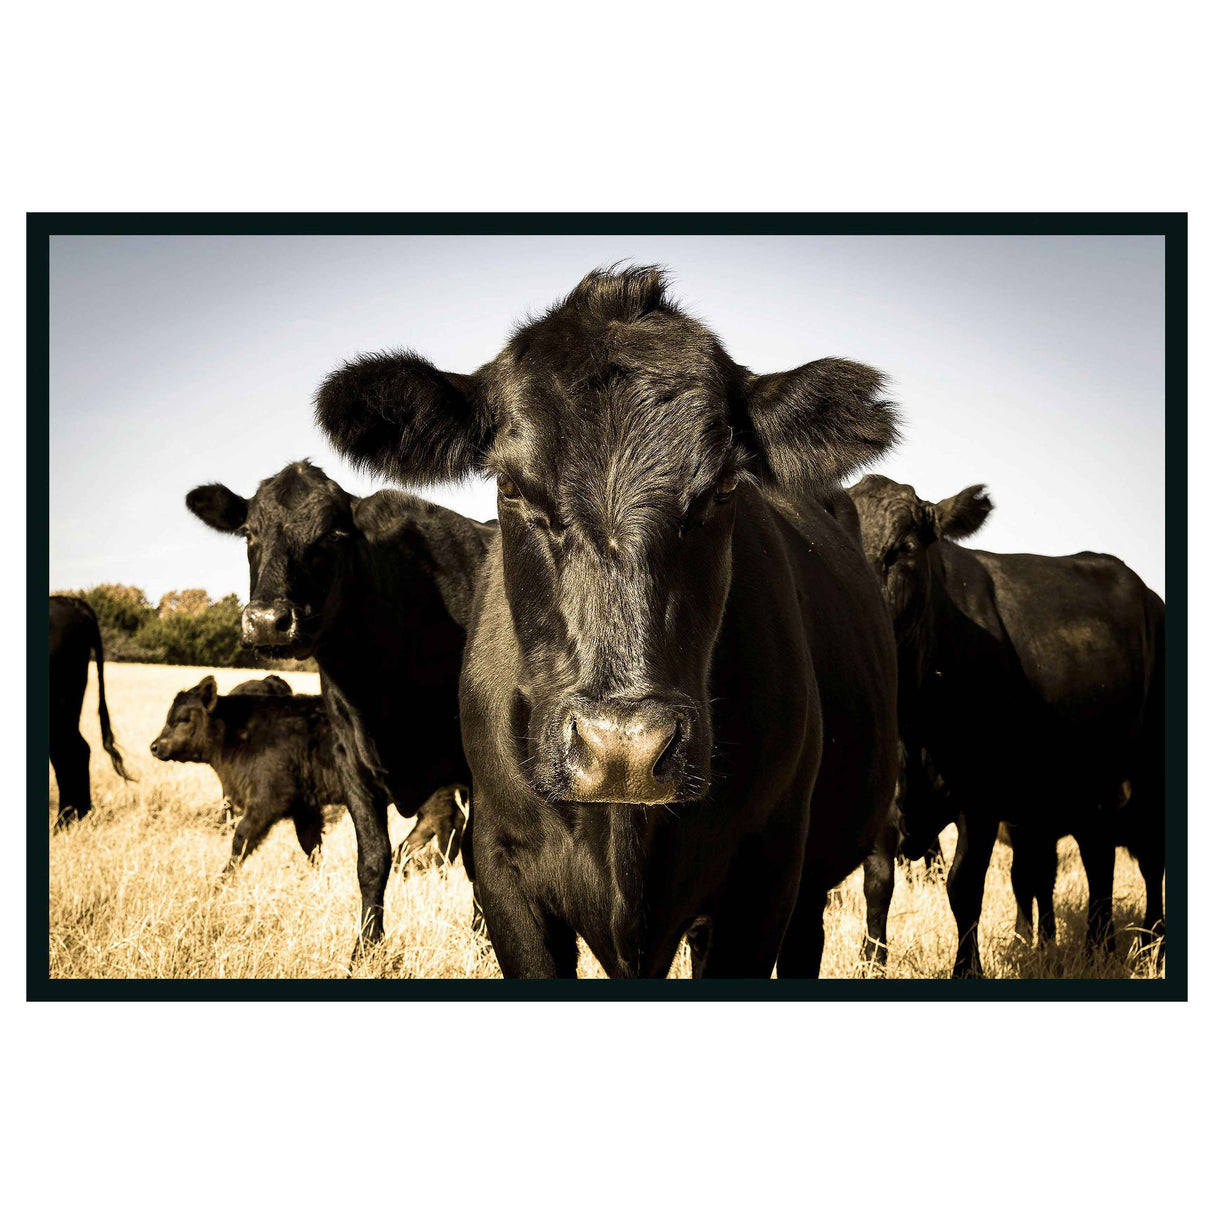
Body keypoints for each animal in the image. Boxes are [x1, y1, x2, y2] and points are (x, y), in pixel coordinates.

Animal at [185, 462, 494, 956]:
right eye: (249, 533)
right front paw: (365, 950)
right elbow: (373, 859)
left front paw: (486, 943)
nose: (267, 621)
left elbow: (477, 859)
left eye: (331, 534)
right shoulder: (352, 762)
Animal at [848, 474, 1165, 976]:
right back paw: (1099, 947)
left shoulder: (982, 798)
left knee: (1149, 857)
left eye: (905, 548)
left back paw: (1152, 945)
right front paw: (870, 962)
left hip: (1149, 771)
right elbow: (878, 886)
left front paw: (967, 969)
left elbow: (964, 887)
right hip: (1089, 786)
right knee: (1098, 856)